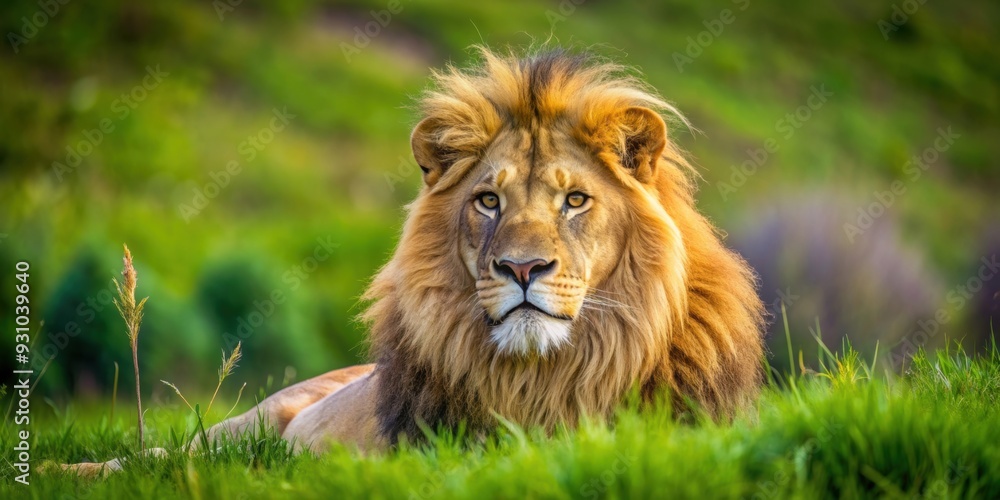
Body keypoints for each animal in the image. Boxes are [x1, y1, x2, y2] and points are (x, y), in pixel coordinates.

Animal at [63, 47, 764, 475]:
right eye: (488, 200)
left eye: (574, 200)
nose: (522, 269)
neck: (544, 376)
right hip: (243, 431)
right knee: (167, 456)